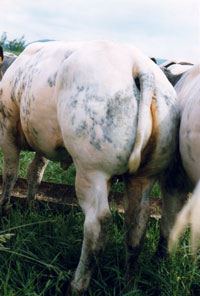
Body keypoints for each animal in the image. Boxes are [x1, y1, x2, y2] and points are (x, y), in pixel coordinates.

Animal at [0, 40, 178, 294]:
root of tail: (140, 65)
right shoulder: (42, 139)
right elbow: (34, 172)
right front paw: (30, 207)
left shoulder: (7, 128)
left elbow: (11, 173)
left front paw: (5, 210)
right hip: (145, 176)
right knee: (137, 224)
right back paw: (129, 283)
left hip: (92, 171)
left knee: (98, 223)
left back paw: (77, 285)